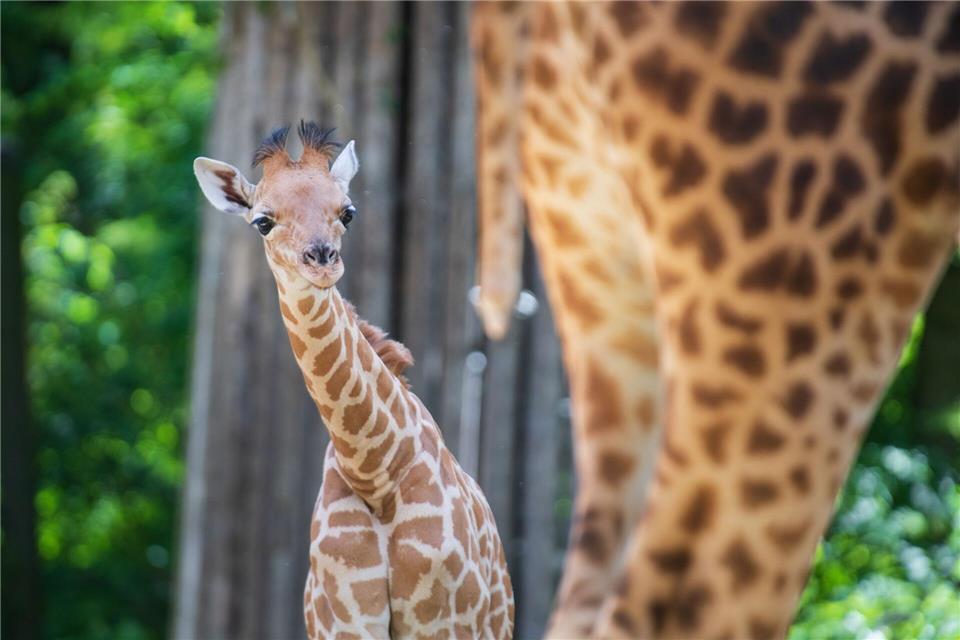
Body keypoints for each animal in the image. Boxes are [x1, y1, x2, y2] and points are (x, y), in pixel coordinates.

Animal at [193, 121, 514, 639]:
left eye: (348, 211)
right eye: (263, 220)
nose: (322, 260)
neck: (374, 471)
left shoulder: (443, 622)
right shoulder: (344, 623)